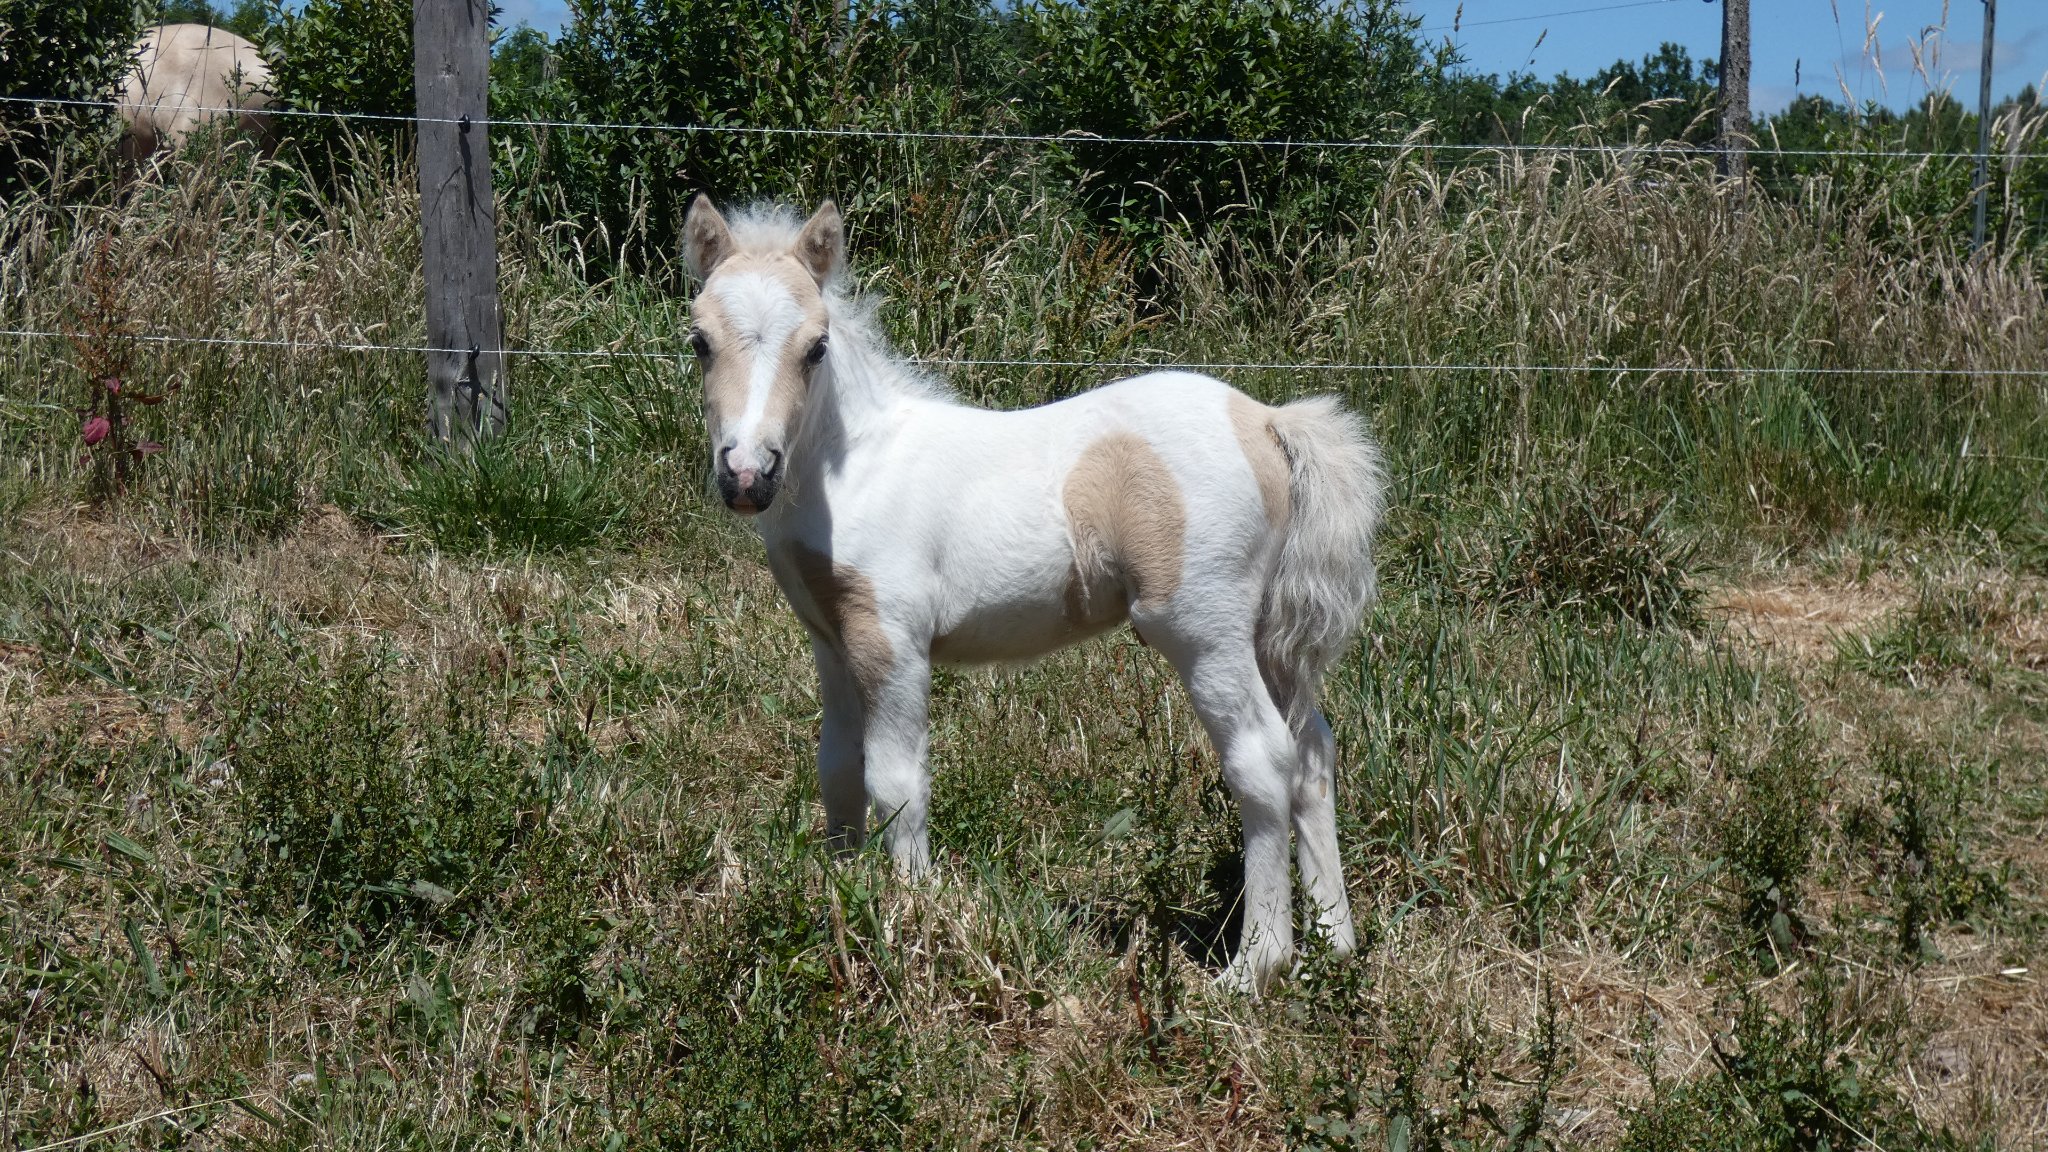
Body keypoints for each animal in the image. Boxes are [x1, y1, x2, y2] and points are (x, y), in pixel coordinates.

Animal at [679, 196, 1384, 988]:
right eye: (700, 340)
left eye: (816, 347)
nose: (747, 475)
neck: (853, 466)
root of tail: (1265, 420)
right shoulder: (832, 640)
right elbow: (837, 767)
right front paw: (840, 889)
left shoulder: (894, 640)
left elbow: (895, 780)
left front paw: (912, 918)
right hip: (1267, 635)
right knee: (1314, 752)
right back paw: (1333, 941)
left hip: (1205, 630)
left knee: (1264, 759)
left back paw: (1255, 966)